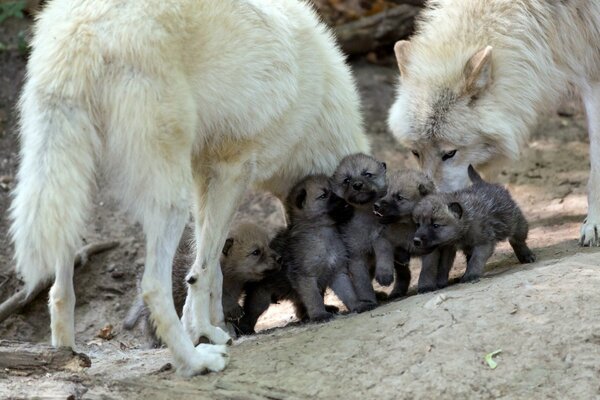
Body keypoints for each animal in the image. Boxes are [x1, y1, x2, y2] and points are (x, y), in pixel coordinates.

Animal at [10, 0, 370, 376]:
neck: (318, 107)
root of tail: (81, 30)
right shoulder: (232, 172)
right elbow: (204, 269)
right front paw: (205, 333)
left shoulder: (204, 176)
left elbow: (209, 267)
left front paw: (213, 327)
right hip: (171, 200)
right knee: (152, 287)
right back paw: (195, 362)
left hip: (75, 188)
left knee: (58, 288)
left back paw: (65, 357)